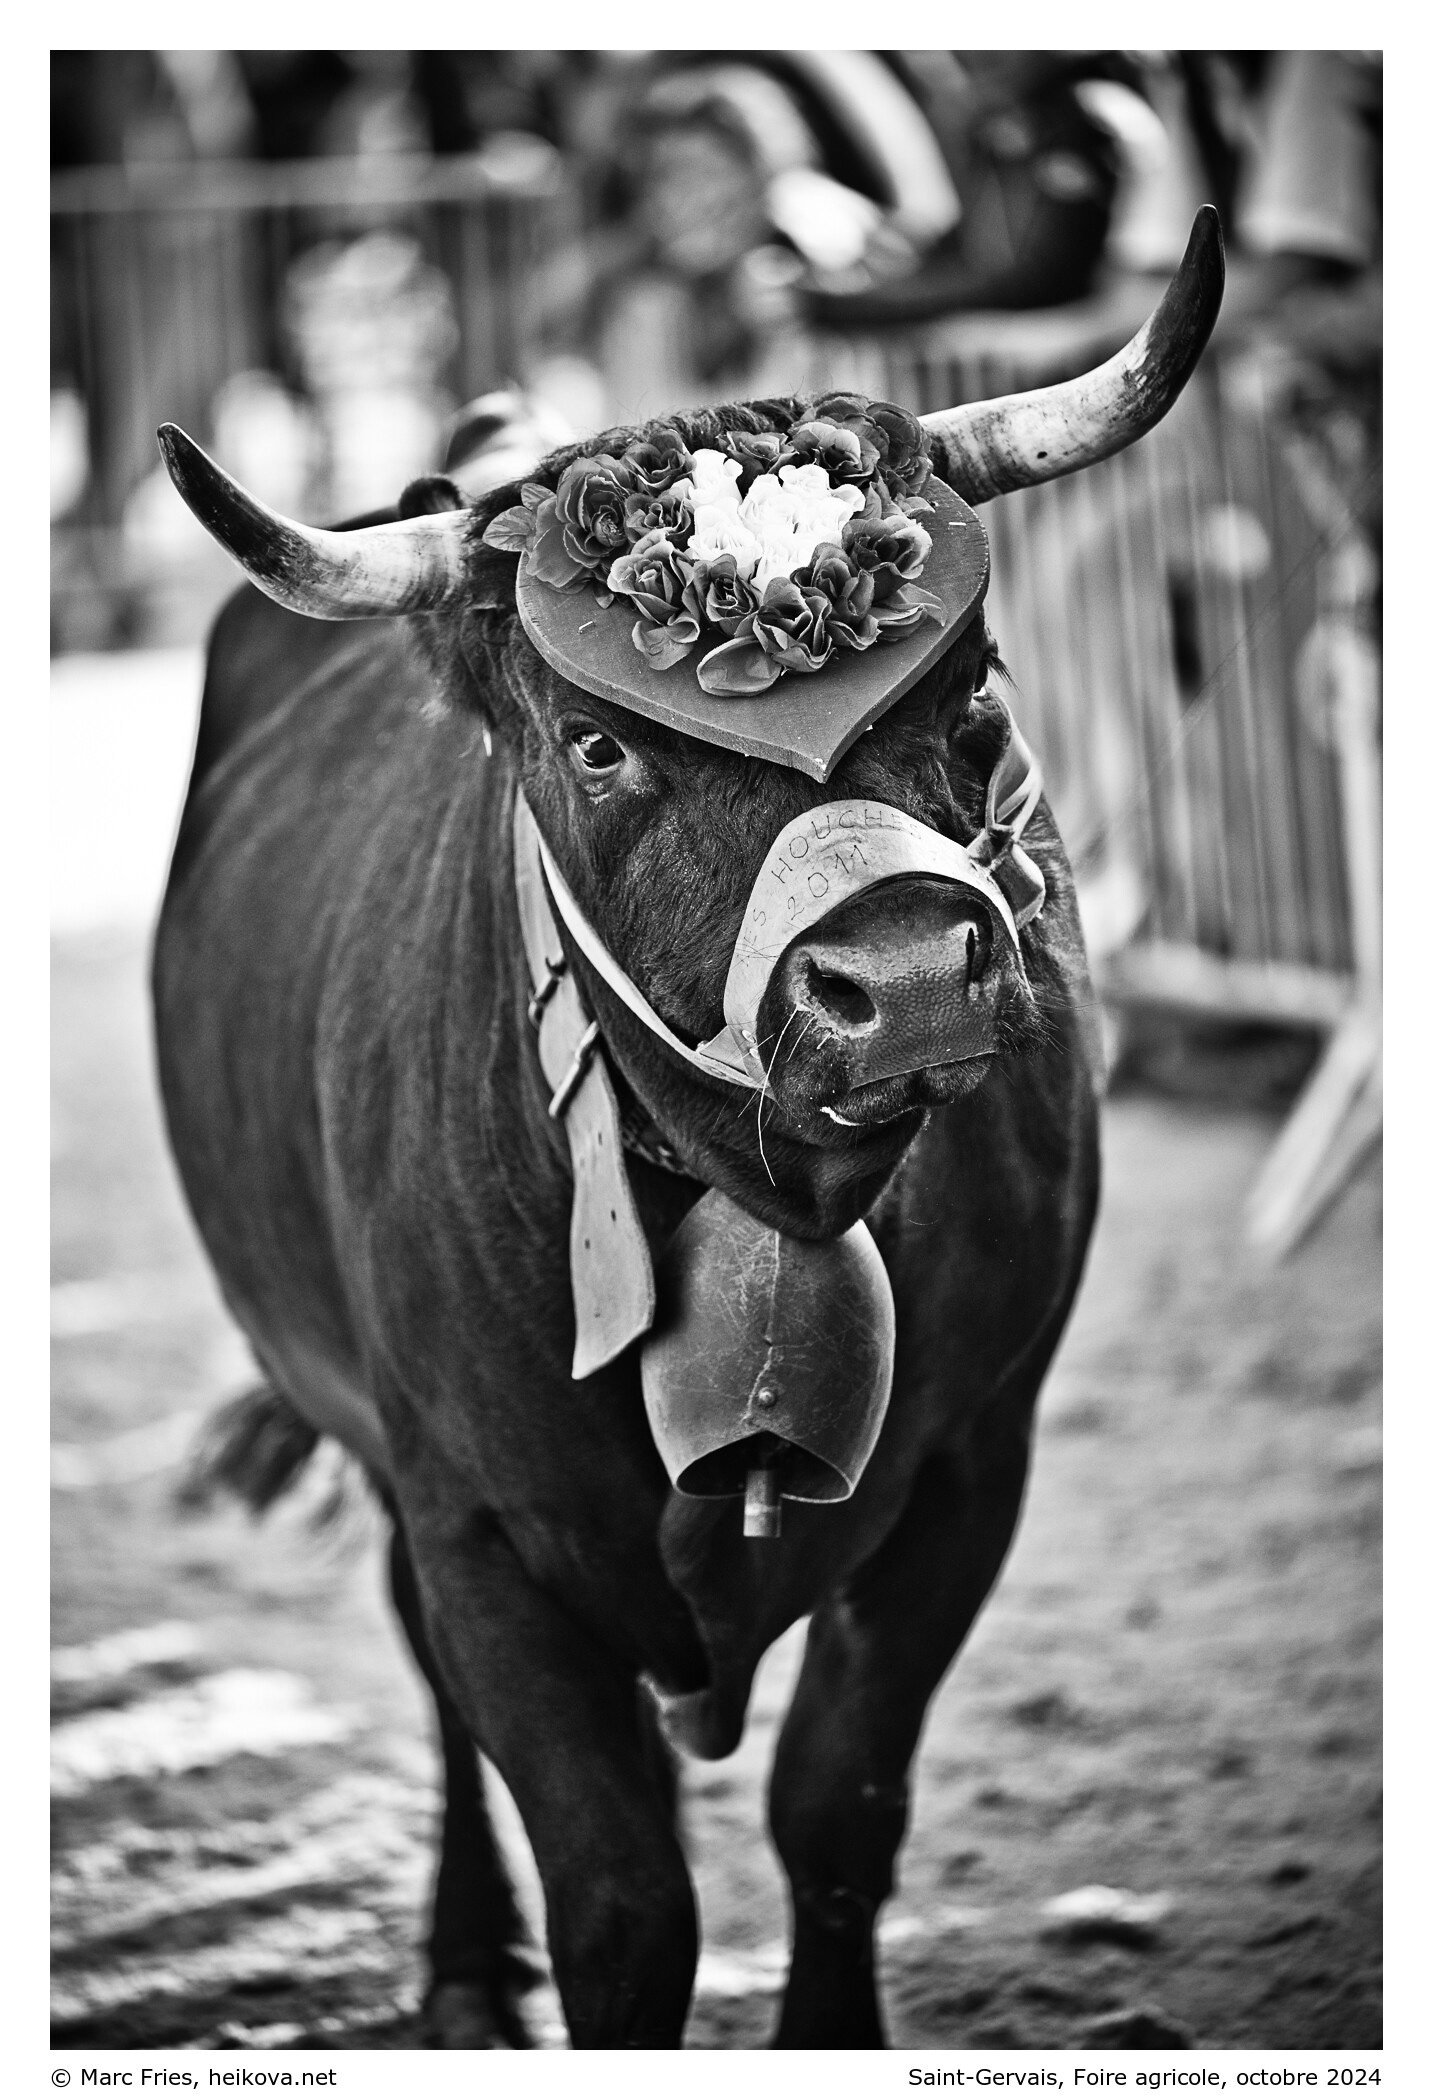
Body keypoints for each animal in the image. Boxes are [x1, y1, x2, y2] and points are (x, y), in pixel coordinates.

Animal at [152, 210, 1224, 2050]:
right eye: (595, 745)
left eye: (970, 692)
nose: (905, 984)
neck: (756, 1198)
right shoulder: (477, 1528)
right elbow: (621, 1907)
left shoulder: (973, 1463)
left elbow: (835, 1809)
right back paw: (460, 1962)